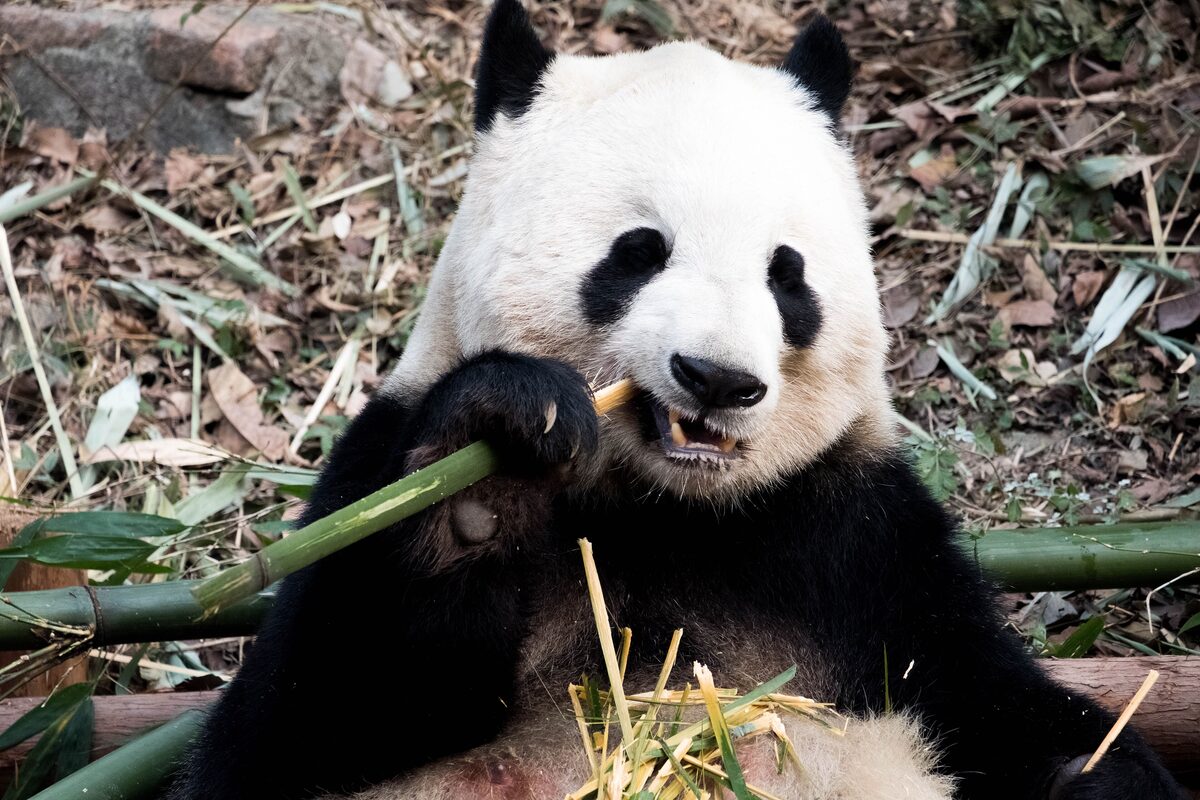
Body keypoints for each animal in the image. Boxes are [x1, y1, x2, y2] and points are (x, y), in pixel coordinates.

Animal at [168, 3, 1188, 799]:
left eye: (787, 275)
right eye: (639, 252)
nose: (719, 379)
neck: (668, 509)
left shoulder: (862, 543)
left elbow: (999, 707)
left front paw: (1102, 777)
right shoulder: (370, 470)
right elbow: (302, 720)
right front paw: (491, 469)